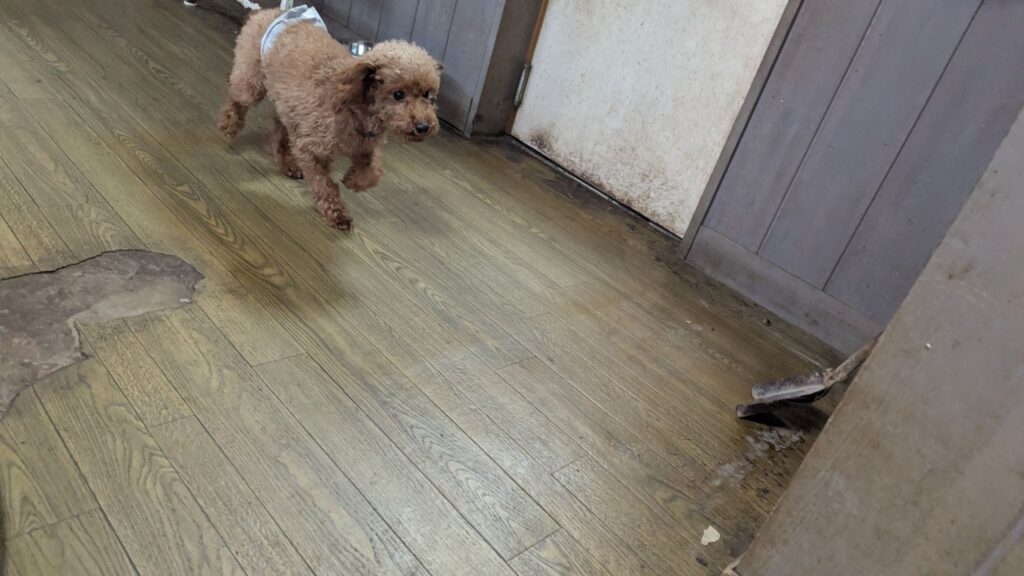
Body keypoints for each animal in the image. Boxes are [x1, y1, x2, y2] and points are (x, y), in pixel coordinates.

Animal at [218, 7, 442, 230]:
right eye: (398, 94)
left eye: (427, 94)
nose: (423, 126)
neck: (357, 109)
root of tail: (267, 12)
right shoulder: (310, 149)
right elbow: (324, 184)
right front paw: (338, 214)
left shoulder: (365, 146)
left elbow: (373, 172)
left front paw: (353, 180)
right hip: (252, 83)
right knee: (235, 94)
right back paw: (229, 124)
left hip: (287, 105)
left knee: (279, 129)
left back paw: (287, 163)